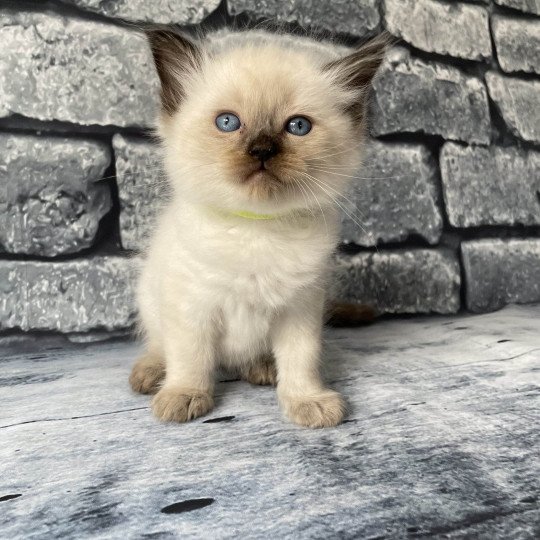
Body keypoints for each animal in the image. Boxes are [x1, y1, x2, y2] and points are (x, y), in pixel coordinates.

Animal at [128, 28, 386, 426]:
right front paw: (184, 396)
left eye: (298, 127)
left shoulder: (300, 309)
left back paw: (262, 368)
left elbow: (300, 360)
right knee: (160, 345)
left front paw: (307, 401)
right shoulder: (191, 306)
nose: (262, 149)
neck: (257, 228)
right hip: (151, 300)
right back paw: (152, 374)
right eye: (228, 123)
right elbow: (190, 357)